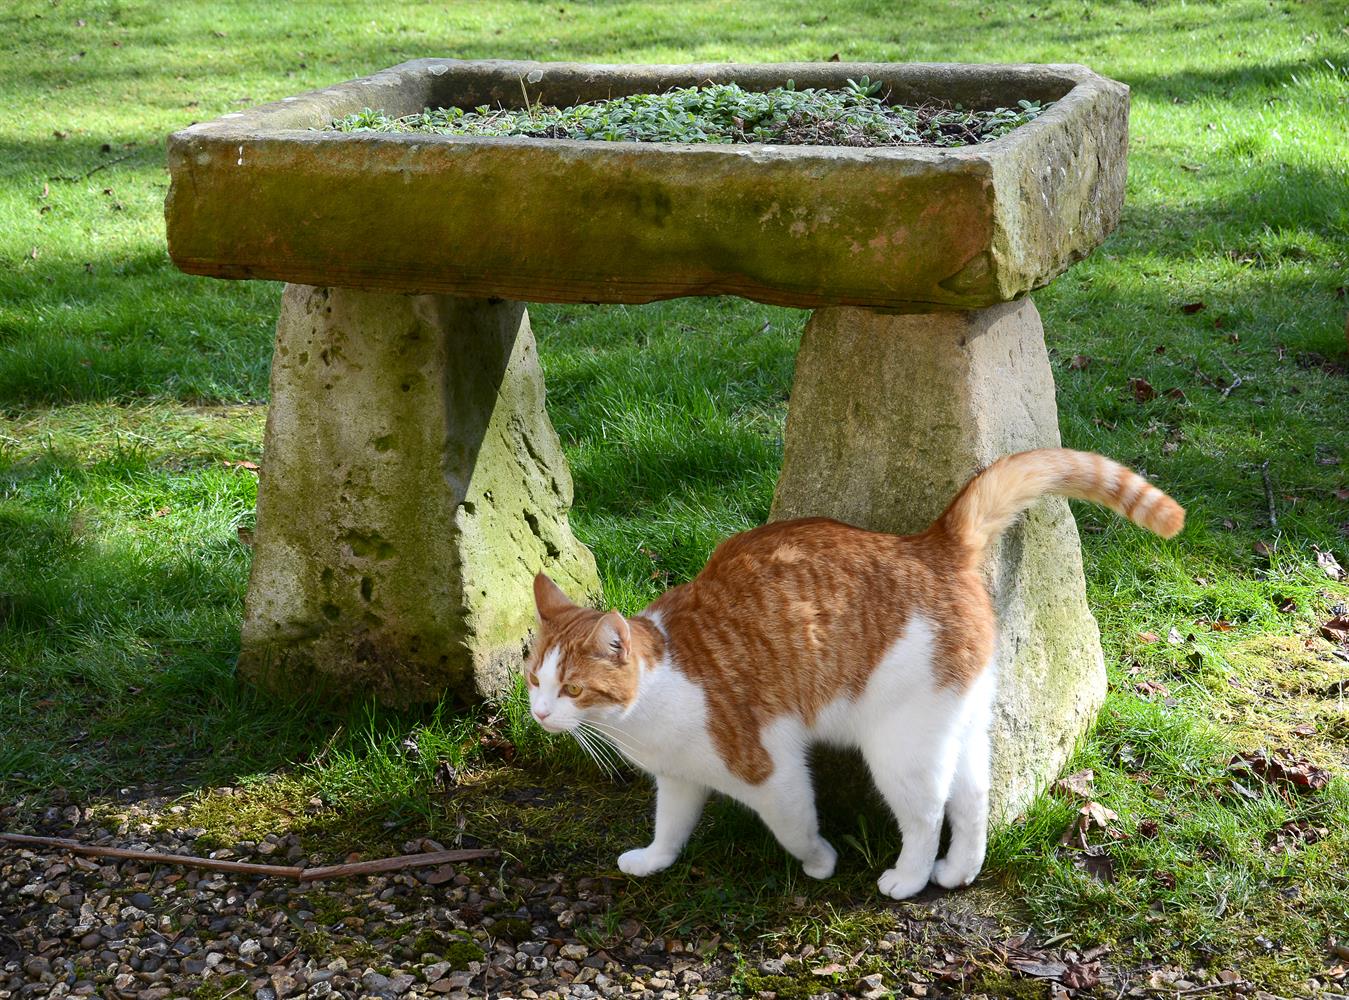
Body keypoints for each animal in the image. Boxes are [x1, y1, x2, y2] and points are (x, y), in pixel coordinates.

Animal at [520, 448, 1176, 901]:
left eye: (572, 688)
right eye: (533, 679)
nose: (540, 714)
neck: (654, 699)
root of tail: (928, 545)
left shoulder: (771, 769)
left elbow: (796, 826)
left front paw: (819, 862)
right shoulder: (680, 778)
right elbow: (671, 827)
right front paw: (655, 860)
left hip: (898, 746)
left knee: (927, 813)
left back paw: (909, 878)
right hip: (955, 722)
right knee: (972, 797)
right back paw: (958, 871)